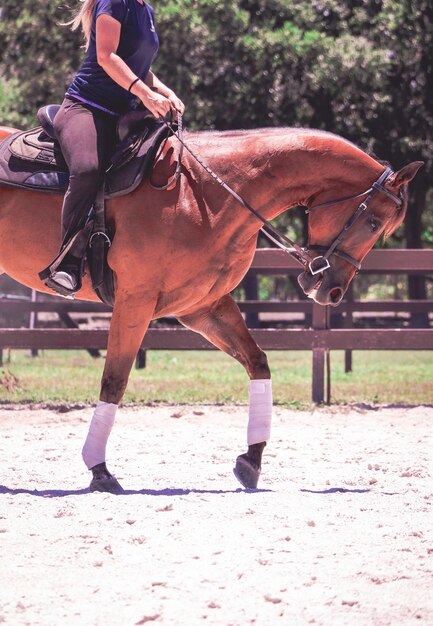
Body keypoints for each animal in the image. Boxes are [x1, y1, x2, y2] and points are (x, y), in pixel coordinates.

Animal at [0, 123, 420, 492]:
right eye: (373, 222)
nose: (331, 291)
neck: (207, 194)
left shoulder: (204, 306)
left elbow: (257, 362)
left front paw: (251, 460)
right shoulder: (136, 301)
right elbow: (114, 381)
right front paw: (99, 470)